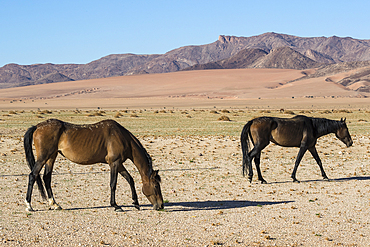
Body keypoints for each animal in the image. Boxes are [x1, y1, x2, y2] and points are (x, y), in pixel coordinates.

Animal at [23, 118, 162, 211]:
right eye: (156, 185)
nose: (160, 205)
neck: (122, 137)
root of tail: (37, 126)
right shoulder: (114, 163)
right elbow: (113, 184)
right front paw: (115, 205)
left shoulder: (119, 164)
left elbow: (130, 179)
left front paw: (136, 203)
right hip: (43, 157)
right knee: (33, 175)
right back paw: (29, 205)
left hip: (51, 157)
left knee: (46, 178)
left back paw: (55, 204)